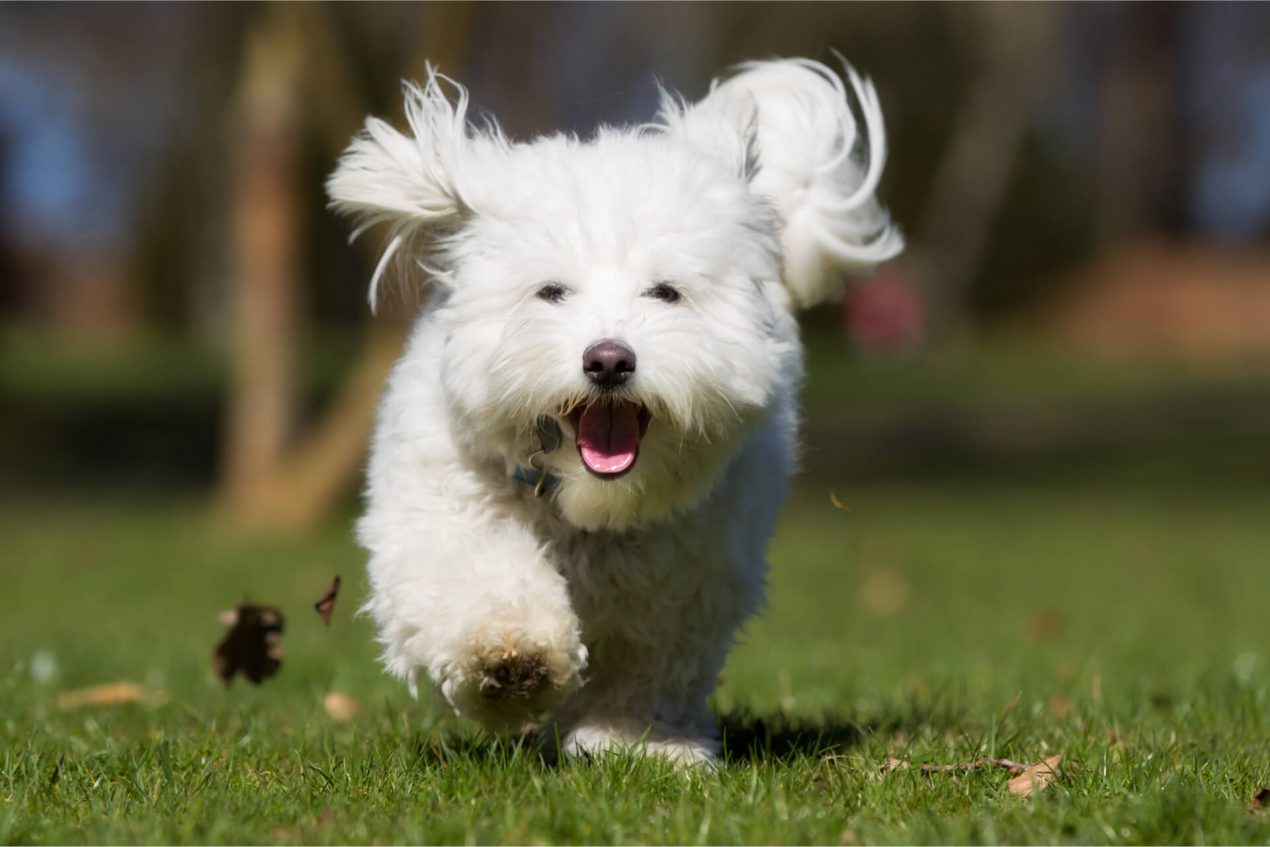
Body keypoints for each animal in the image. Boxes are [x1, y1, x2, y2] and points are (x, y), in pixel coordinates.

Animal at [327, 56, 904, 766]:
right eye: (550, 292)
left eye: (666, 292)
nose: (607, 360)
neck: (589, 505)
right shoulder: (441, 511)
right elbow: (475, 578)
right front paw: (510, 657)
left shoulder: (688, 573)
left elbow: (648, 662)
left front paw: (639, 741)